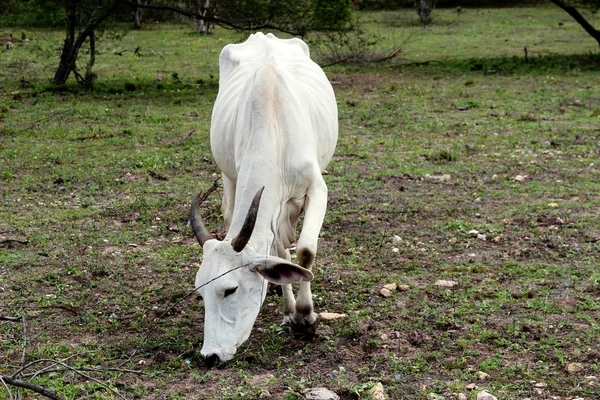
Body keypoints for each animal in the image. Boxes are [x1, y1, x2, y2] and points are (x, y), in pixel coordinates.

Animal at [191, 33, 338, 366]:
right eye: (200, 292)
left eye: (230, 290)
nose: (210, 355)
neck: (273, 121)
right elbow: (281, 253)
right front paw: (290, 313)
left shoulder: (316, 190)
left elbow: (306, 251)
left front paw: (305, 318)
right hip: (230, 178)